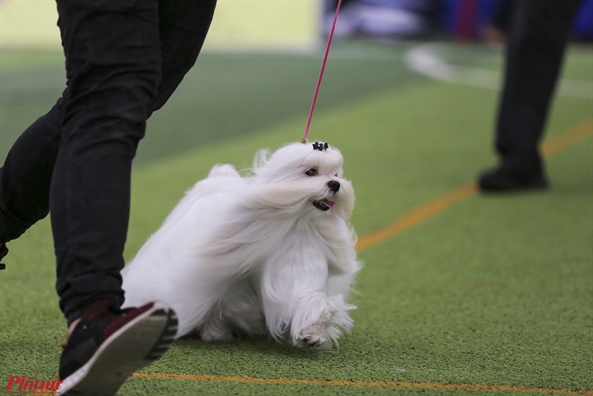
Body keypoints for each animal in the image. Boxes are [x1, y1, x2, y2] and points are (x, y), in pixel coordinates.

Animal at [122, 141, 358, 348]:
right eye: (311, 172)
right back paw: (213, 332)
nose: (335, 184)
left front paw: (312, 333)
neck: (295, 223)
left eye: (336, 174)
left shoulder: (299, 263)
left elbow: (306, 299)